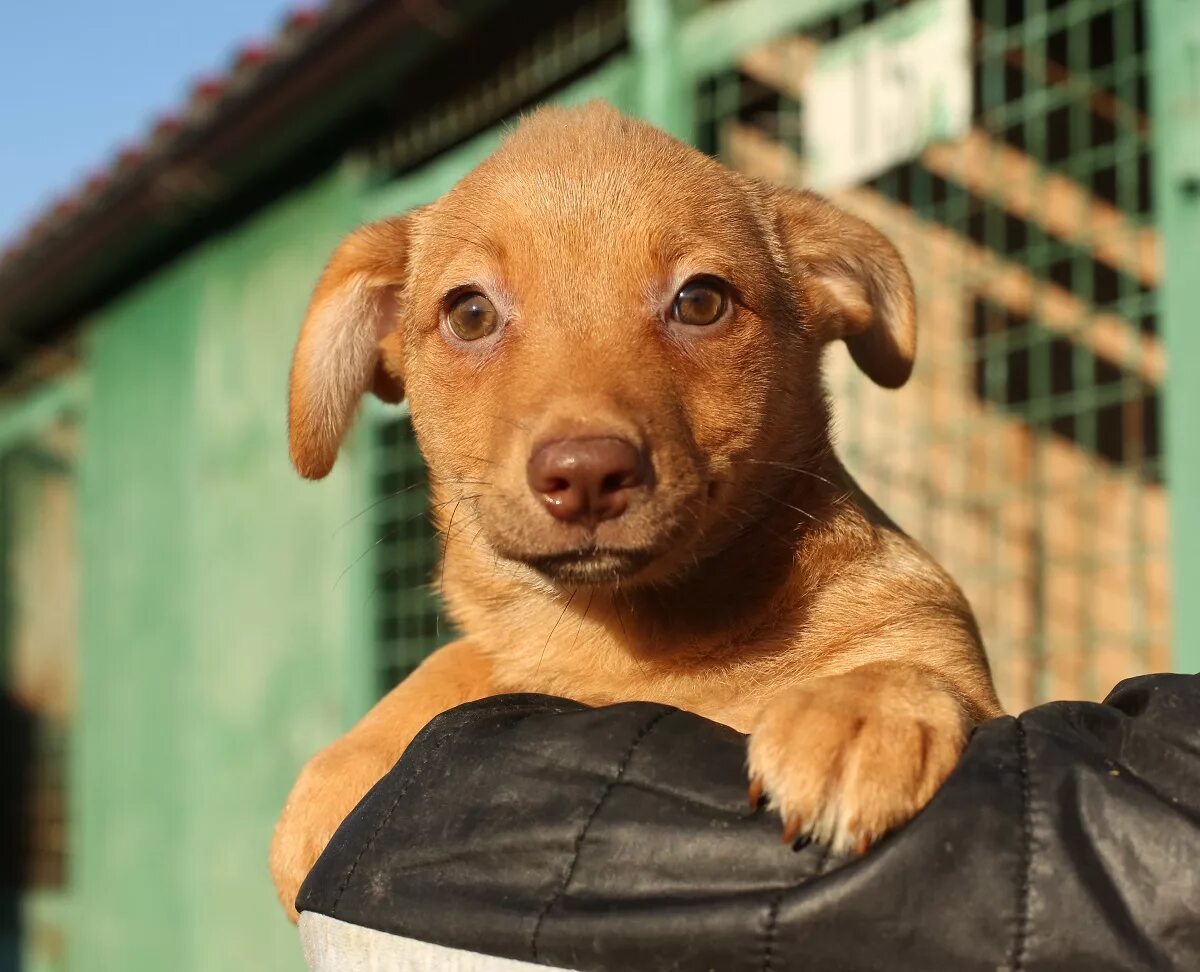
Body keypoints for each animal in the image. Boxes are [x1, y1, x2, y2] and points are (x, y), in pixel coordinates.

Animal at [272, 100, 1003, 916]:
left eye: (702, 301)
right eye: (470, 314)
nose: (586, 473)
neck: (627, 642)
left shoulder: (943, 646)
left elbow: (921, 670)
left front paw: (860, 710)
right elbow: (461, 657)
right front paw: (351, 759)